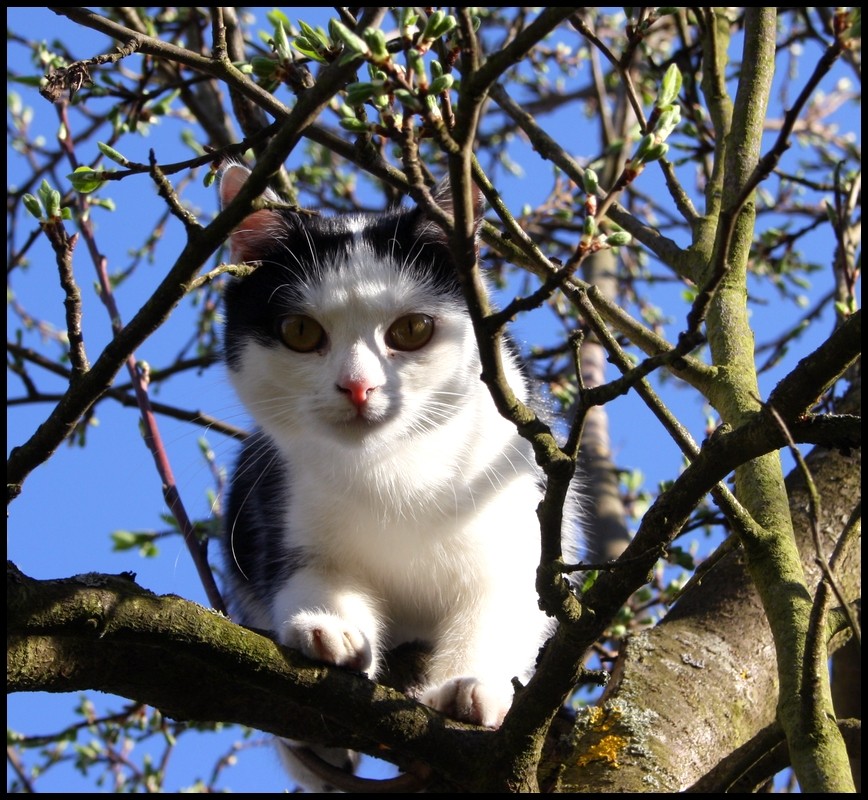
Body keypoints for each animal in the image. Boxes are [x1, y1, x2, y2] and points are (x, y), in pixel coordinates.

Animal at [220, 166, 580, 792]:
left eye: (412, 329)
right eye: (299, 331)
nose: (359, 387)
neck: (395, 467)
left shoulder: (526, 524)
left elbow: (502, 603)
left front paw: (472, 686)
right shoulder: (279, 505)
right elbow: (304, 572)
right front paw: (330, 628)